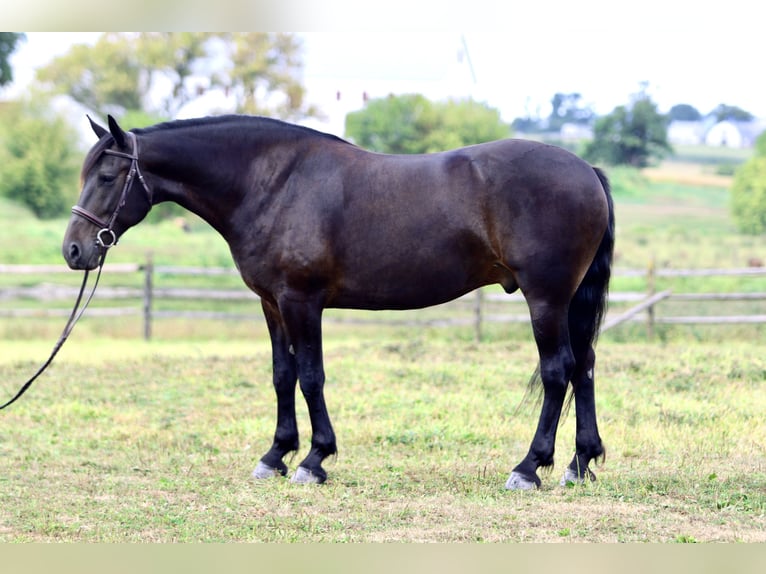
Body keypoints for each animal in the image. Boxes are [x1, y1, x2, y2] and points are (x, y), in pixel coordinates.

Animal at [63, 114, 615, 490]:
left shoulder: (301, 301)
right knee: (584, 365)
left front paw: (313, 460)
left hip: (545, 298)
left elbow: (311, 376)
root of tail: (585, 169)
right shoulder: (272, 304)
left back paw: (529, 468)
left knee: (557, 371)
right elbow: (282, 376)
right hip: (569, 301)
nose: (74, 250)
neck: (273, 183)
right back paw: (579, 464)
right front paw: (275, 456)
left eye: (108, 177)